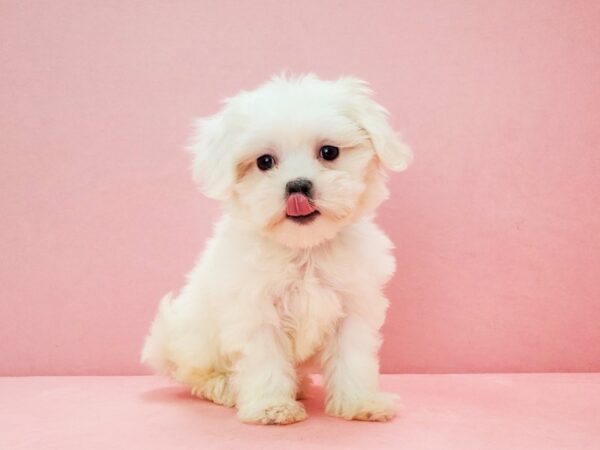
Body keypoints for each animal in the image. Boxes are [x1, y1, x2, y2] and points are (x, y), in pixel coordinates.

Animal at [141, 74, 412, 426]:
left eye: (329, 152)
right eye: (264, 161)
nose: (297, 185)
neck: (304, 249)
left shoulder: (353, 306)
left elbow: (353, 357)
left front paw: (360, 401)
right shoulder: (255, 310)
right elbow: (265, 358)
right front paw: (271, 407)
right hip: (194, 339)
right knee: (197, 374)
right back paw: (226, 387)